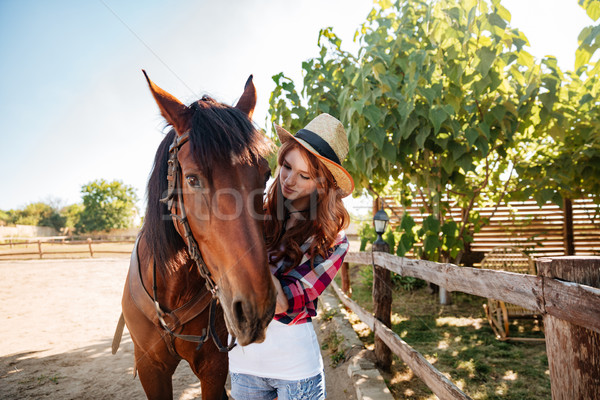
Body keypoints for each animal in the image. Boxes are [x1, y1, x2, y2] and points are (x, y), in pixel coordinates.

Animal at [113, 72, 278, 400]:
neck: (171, 290)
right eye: (192, 179)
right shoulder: (150, 368)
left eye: (265, 175)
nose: (255, 308)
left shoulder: (213, 367)